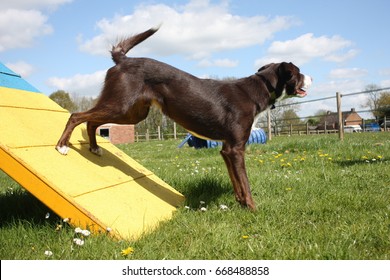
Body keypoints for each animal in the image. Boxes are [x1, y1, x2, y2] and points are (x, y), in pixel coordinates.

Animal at [55, 26, 310, 210]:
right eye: (299, 73)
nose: (311, 78)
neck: (257, 89)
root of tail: (123, 60)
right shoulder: (236, 149)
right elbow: (245, 183)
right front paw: (253, 208)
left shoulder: (227, 150)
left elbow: (236, 182)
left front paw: (241, 204)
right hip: (120, 105)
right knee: (77, 115)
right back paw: (62, 146)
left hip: (132, 113)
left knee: (92, 120)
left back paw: (95, 148)